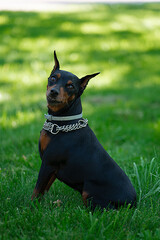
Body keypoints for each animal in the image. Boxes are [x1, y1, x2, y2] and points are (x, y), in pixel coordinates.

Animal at [31, 51, 136, 210]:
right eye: (53, 78)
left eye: (70, 86)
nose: (53, 92)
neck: (63, 123)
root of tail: (133, 202)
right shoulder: (52, 168)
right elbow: (44, 189)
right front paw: (41, 205)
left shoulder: (48, 163)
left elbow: (37, 189)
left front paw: (29, 208)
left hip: (89, 192)